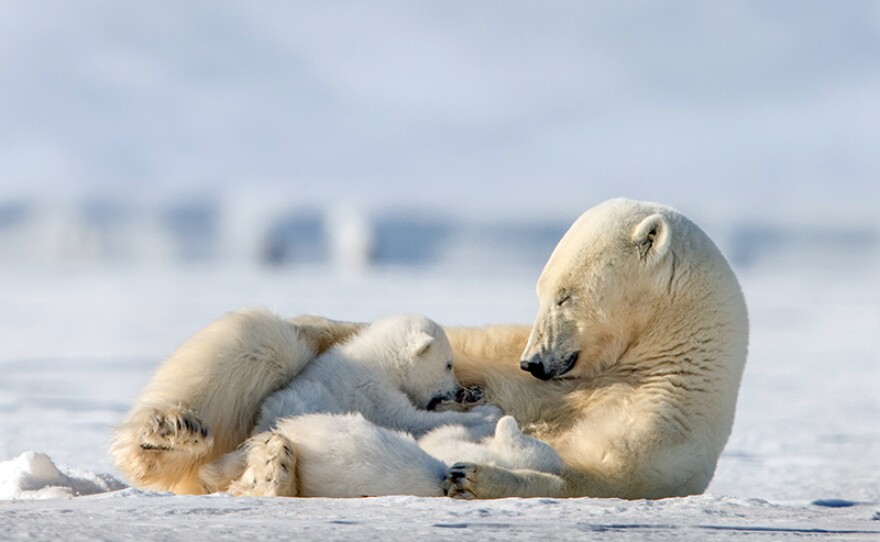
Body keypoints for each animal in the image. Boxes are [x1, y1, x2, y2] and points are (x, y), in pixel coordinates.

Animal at [110, 198, 748, 499]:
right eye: (542, 291)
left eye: (566, 295)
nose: (533, 362)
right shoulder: (498, 344)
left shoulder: (662, 425)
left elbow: (591, 473)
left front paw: (476, 473)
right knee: (259, 340)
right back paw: (168, 433)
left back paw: (271, 468)